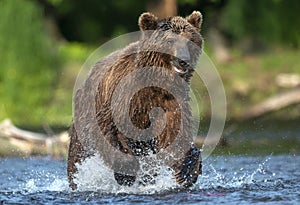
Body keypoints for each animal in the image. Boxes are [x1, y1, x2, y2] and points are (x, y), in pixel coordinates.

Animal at [68, 11, 204, 190]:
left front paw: (187, 170)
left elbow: (174, 133)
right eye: (170, 40)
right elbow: (110, 130)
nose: (183, 60)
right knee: (78, 155)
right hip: (84, 116)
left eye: (190, 39)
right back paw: (76, 181)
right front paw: (126, 173)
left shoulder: (169, 102)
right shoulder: (123, 99)